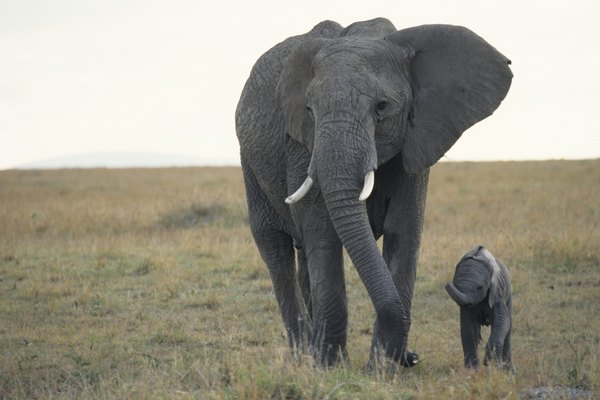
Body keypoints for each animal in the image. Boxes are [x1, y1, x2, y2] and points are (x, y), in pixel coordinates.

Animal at [234, 17, 510, 366]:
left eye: (381, 107)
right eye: (309, 109)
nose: (413, 357)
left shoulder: (417, 138)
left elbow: (403, 231)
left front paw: (383, 367)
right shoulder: (300, 144)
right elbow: (322, 232)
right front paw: (332, 367)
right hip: (249, 163)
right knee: (275, 246)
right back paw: (304, 358)